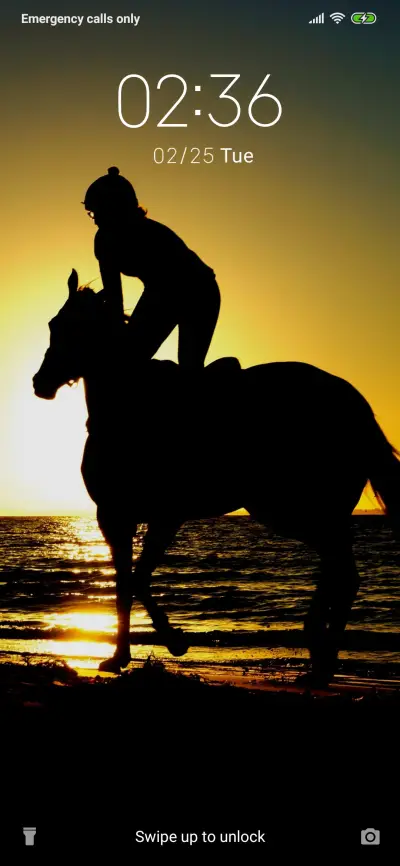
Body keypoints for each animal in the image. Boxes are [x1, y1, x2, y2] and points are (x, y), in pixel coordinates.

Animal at [33, 270, 400, 684]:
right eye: (55, 325)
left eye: (76, 329)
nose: (40, 382)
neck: (127, 406)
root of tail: (357, 405)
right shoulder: (118, 516)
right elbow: (126, 583)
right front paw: (119, 656)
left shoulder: (154, 514)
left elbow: (137, 579)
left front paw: (173, 641)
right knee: (340, 569)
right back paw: (320, 658)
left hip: (296, 509)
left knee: (343, 571)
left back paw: (320, 657)